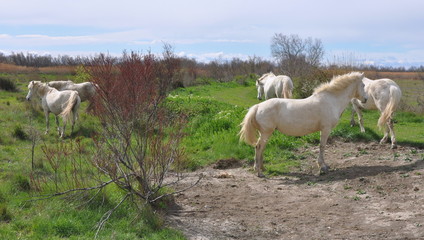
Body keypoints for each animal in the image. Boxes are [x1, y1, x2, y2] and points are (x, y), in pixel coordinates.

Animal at [238, 71, 368, 176]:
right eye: (363, 85)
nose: (365, 99)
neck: (331, 100)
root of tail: (258, 106)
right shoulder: (326, 129)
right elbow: (322, 146)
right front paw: (322, 166)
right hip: (266, 133)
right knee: (259, 147)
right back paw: (259, 172)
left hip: (265, 133)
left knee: (261, 148)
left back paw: (262, 168)